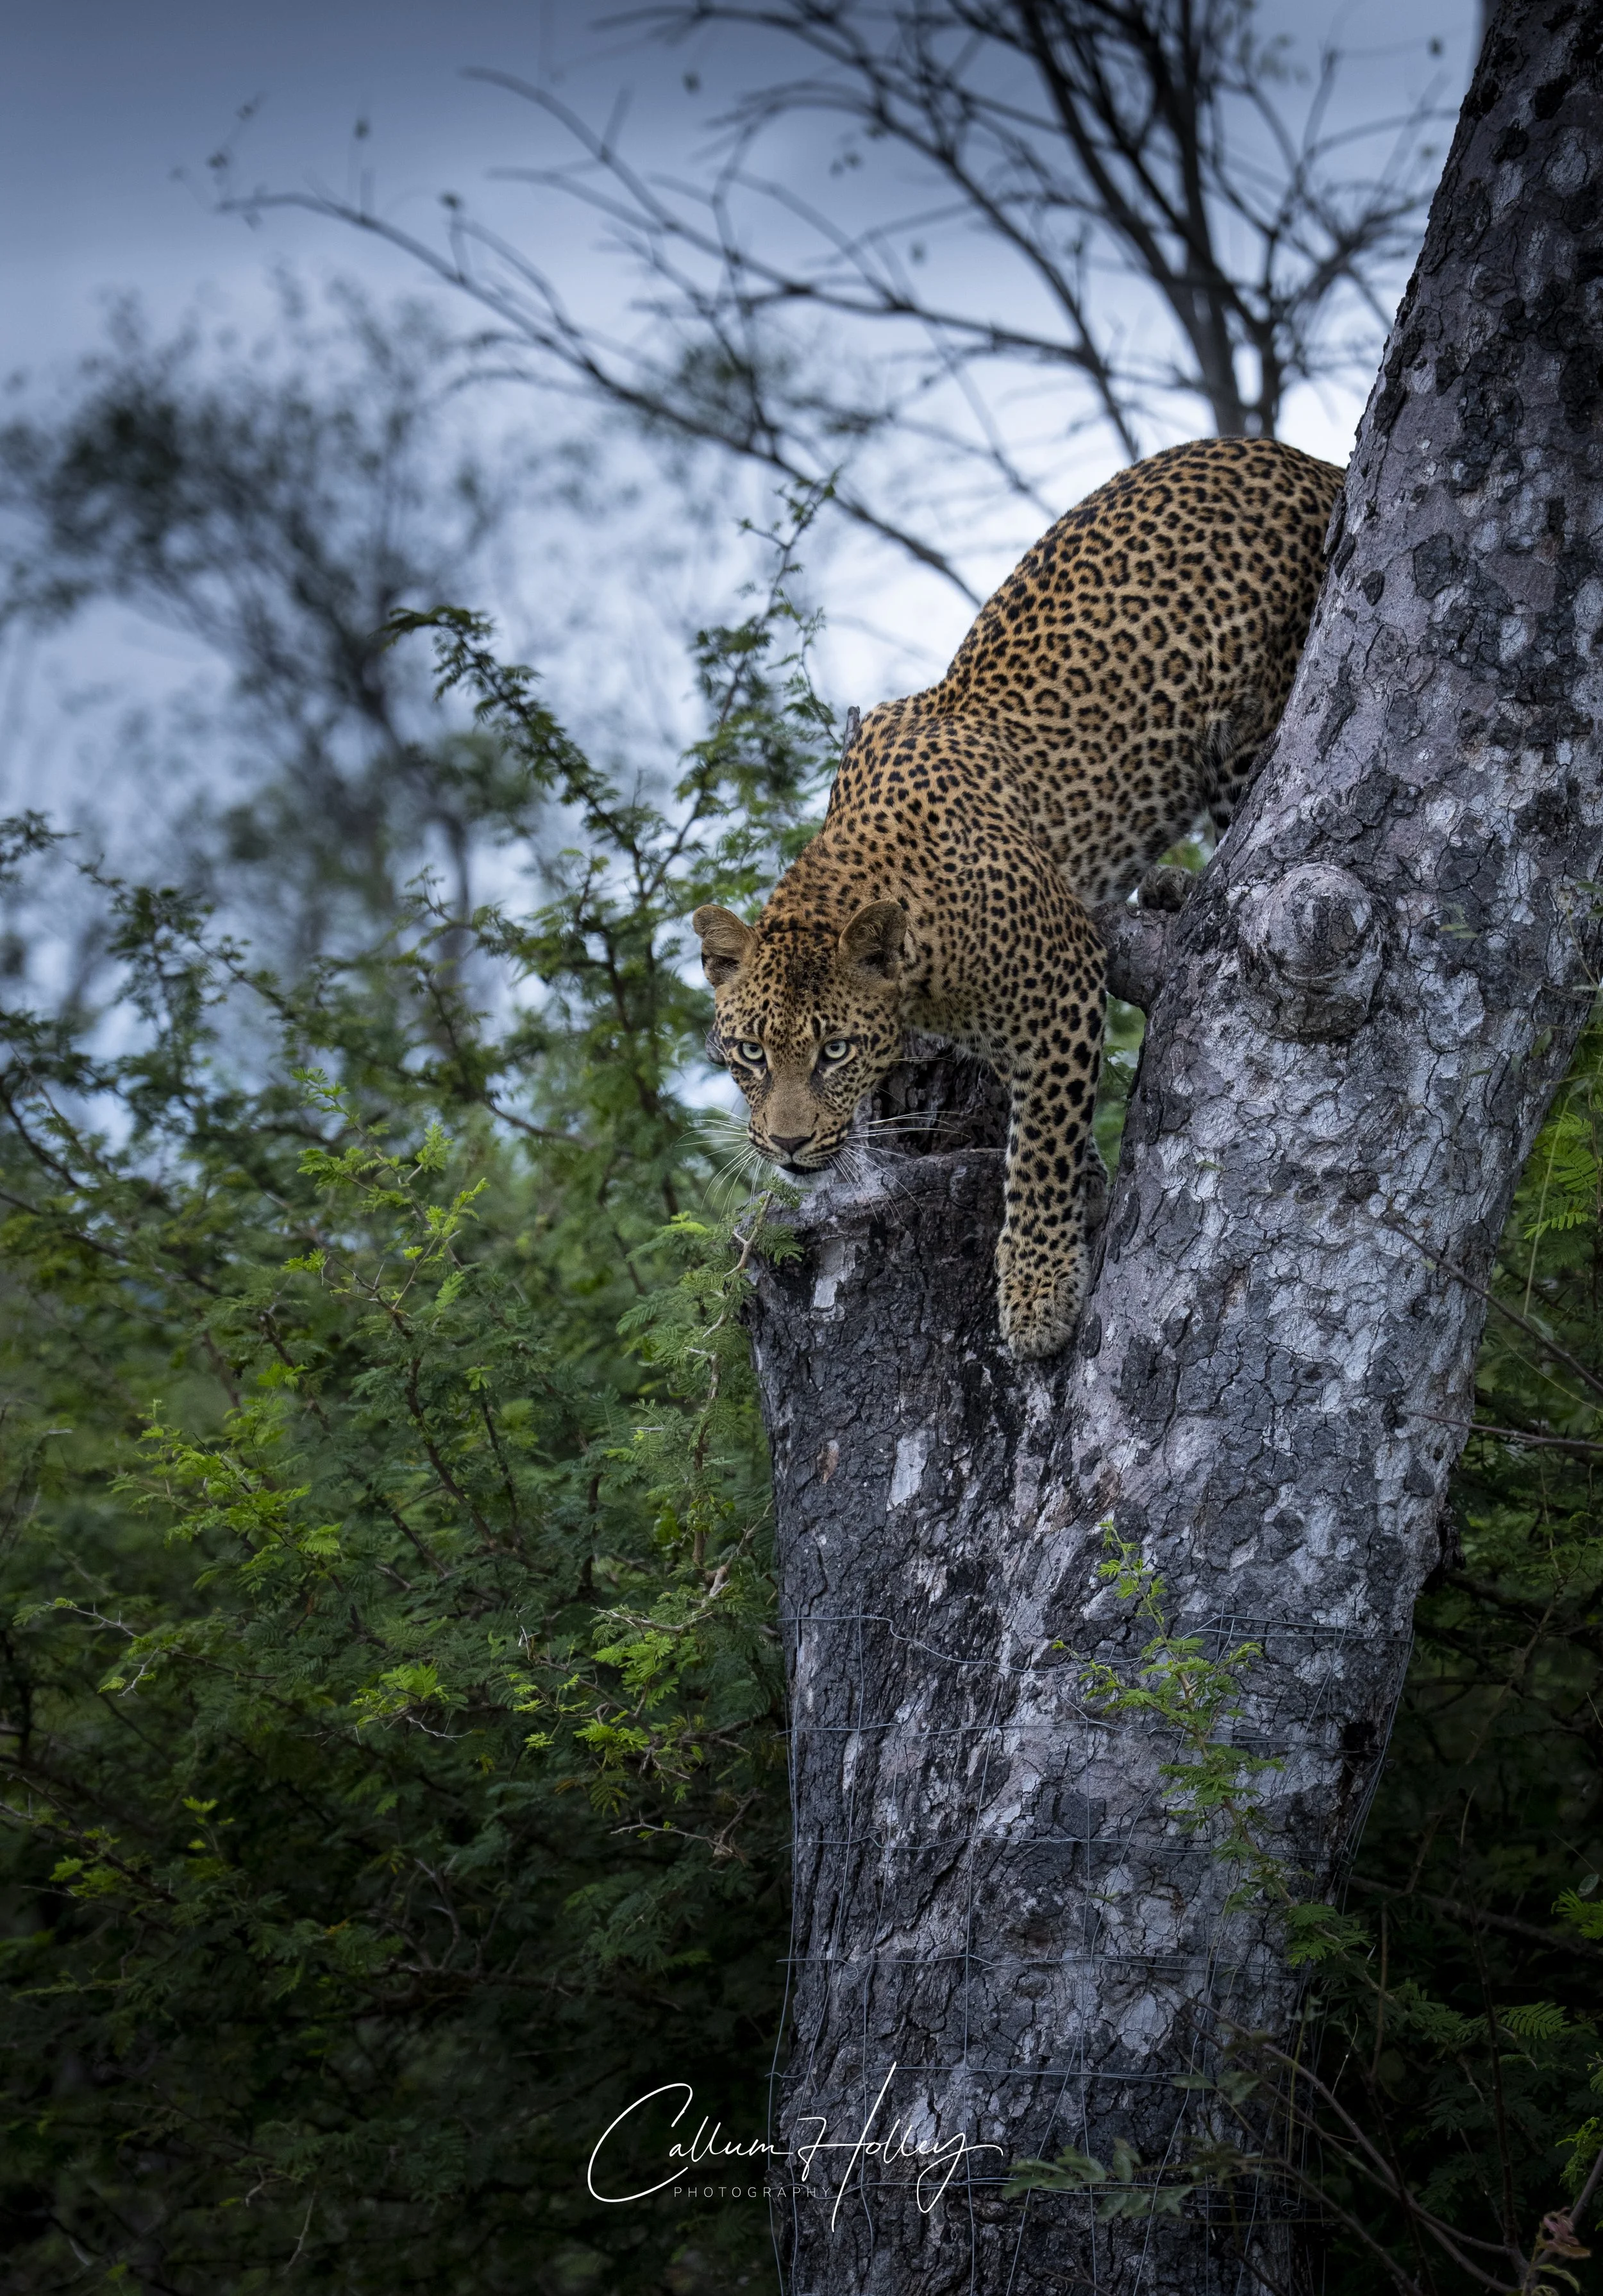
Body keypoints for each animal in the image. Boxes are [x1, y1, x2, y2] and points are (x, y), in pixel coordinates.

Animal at [693, 436, 1345, 1359]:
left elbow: (1039, 1145)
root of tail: (1309, 459)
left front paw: (1038, 1296)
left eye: (834, 1052)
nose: (785, 1147)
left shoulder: (1062, 981)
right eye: (749, 1052)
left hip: (1254, 719)